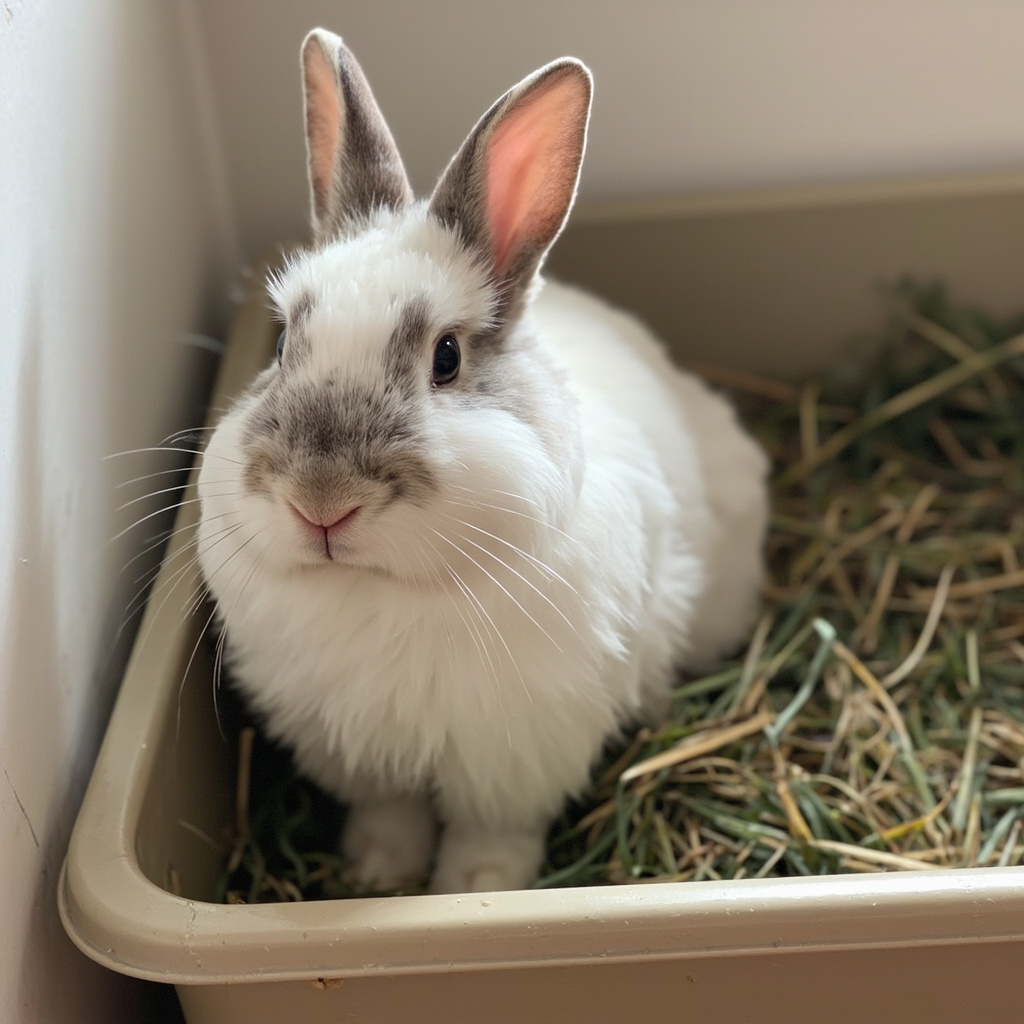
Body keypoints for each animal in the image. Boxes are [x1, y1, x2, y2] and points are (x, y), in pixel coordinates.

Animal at [196, 28, 769, 895]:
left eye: (447, 358)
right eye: (286, 341)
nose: (321, 502)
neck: (381, 590)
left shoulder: (515, 756)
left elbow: (489, 833)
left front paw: (477, 890)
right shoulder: (360, 749)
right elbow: (391, 816)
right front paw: (378, 876)